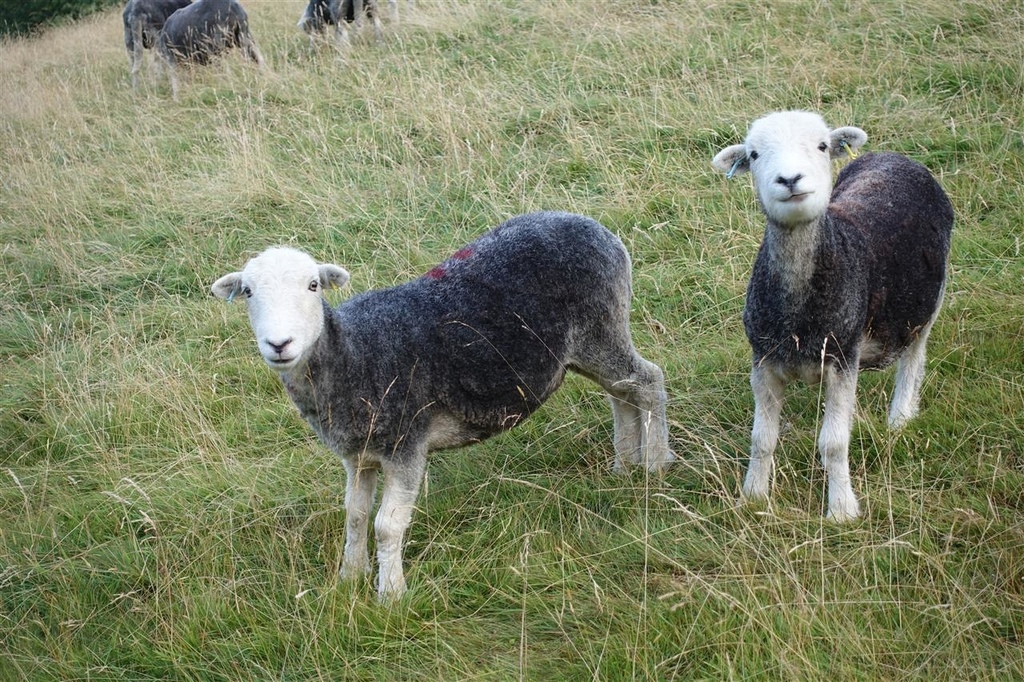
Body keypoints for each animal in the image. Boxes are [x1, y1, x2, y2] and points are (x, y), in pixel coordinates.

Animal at [209, 208, 671, 593]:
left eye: (312, 285)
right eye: (247, 292)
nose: (279, 344)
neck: (354, 353)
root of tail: (595, 226)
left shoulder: (406, 443)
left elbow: (386, 526)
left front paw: (391, 594)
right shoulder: (358, 455)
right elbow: (355, 515)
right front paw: (349, 578)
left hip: (601, 328)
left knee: (648, 381)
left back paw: (654, 466)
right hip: (587, 345)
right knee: (621, 393)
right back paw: (624, 466)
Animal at [712, 110, 950, 520]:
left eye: (823, 146)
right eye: (754, 155)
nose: (790, 179)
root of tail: (894, 157)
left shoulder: (842, 358)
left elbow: (834, 443)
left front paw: (841, 508)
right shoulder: (763, 360)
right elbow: (762, 439)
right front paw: (753, 496)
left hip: (927, 304)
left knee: (914, 356)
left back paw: (900, 416)